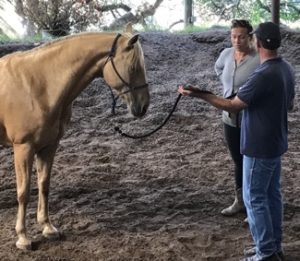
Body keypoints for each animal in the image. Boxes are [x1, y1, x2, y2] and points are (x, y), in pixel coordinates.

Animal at [0, 23, 150, 249]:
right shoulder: (23, 148)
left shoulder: (49, 146)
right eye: (133, 68)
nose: (144, 106)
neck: (39, 84)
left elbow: (44, 185)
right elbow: (23, 192)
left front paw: (47, 227)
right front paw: (23, 237)